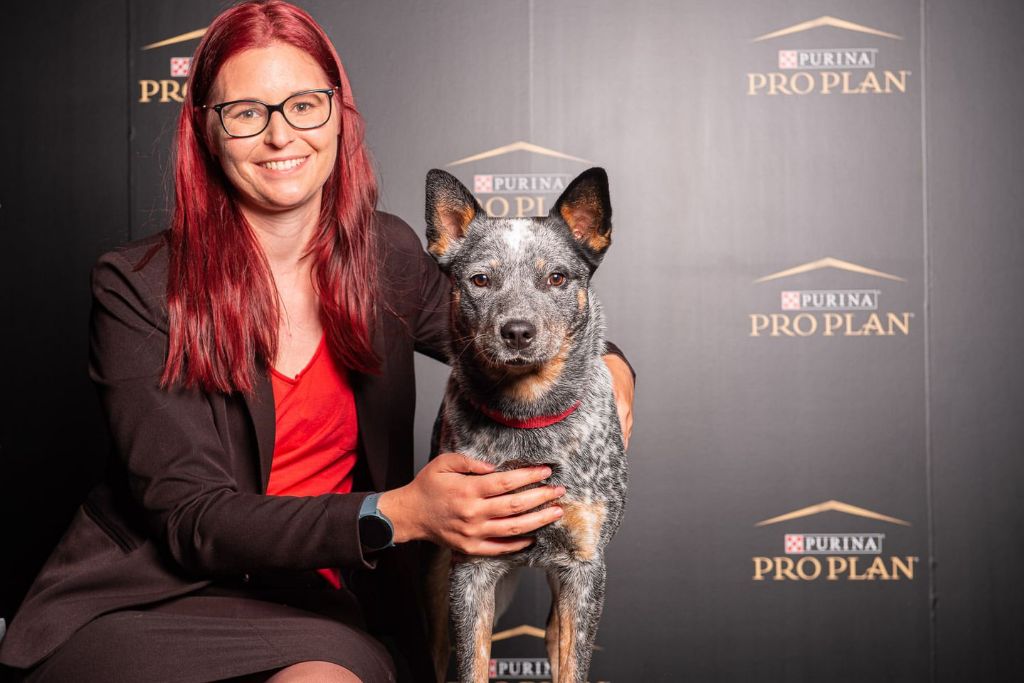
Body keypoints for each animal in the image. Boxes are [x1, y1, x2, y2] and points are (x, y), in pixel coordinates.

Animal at [423, 167, 628, 683]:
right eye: (480, 279)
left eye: (557, 277)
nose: (517, 331)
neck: (529, 418)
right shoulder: (470, 569)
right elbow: (471, 666)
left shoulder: (584, 569)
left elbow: (573, 667)